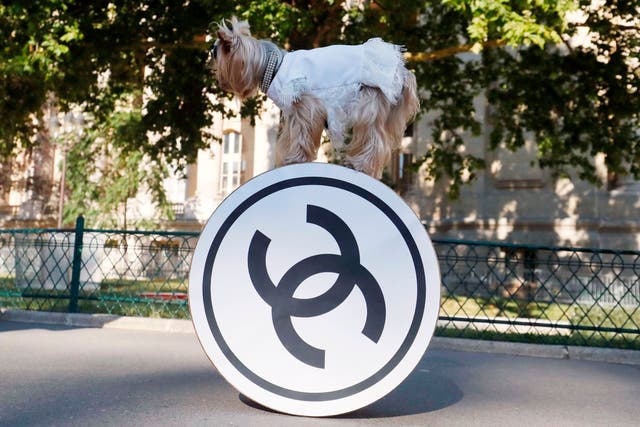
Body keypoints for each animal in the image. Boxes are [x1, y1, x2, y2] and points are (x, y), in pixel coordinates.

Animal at [210, 17, 420, 178]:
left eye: (216, 55)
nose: (217, 78)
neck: (272, 65)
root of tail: (402, 72)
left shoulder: (304, 105)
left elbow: (302, 134)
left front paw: (295, 159)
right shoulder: (292, 111)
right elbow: (289, 136)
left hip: (370, 101)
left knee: (374, 139)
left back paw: (359, 164)